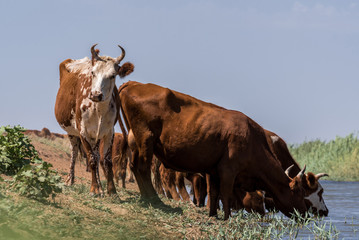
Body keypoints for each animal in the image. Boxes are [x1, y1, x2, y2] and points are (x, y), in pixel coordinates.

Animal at [54, 44, 135, 196]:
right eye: (93, 73)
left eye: (113, 75)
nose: (96, 95)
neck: (99, 109)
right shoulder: (83, 131)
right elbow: (91, 159)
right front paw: (94, 189)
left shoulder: (109, 132)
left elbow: (106, 161)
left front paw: (111, 190)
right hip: (72, 131)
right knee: (75, 152)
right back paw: (70, 180)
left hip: (96, 136)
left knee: (97, 155)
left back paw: (100, 186)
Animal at [119, 81, 310, 220]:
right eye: (299, 192)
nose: (306, 215)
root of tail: (134, 83)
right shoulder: (228, 169)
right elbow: (225, 193)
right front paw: (227, 217)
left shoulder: (212, 170)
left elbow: (213, 193)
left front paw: (213, 215)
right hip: (146, 139)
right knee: (143, 168)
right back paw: (154, 200)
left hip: (136, 142)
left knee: (135, 167)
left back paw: (146, 198)